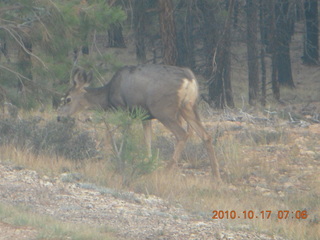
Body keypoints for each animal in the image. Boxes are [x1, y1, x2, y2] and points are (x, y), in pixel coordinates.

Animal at [57, 64, 221, 181]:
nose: (59, 117)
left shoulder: (123, 109)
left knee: (182, 134)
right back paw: (215, 176)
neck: (108, 96)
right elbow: (147, 141)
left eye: (68, 99)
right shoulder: (144, 116)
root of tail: (189, 80)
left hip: (164, 110)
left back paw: (167, 170)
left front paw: (112, 157)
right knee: (206, 136)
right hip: (188, 107)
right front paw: (148, 163)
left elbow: (114, 133)